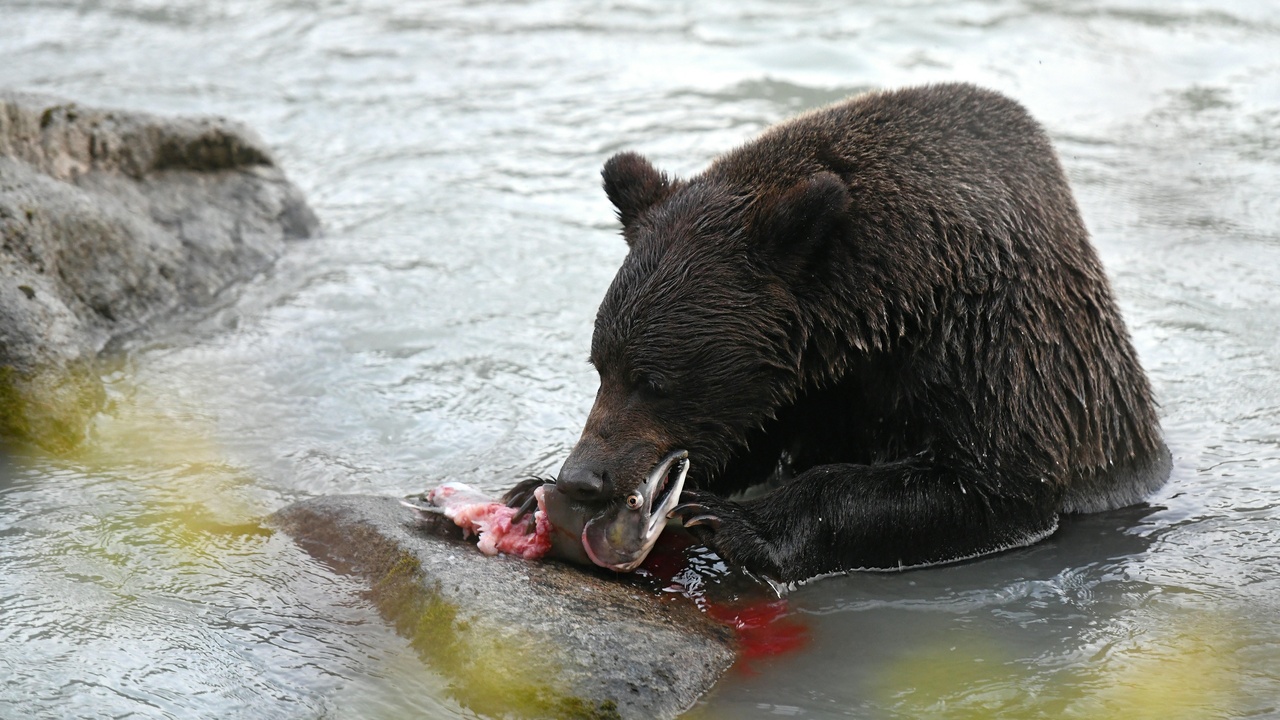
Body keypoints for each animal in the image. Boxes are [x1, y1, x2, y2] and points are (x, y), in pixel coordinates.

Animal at [506, 82, 1172, 585]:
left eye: (654, 380)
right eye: (600, 365)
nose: (584, 476)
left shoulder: (995, 350)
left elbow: (984, 483)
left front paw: (736, 522)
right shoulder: (808, 382)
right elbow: (754, 441)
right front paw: (527, 488)